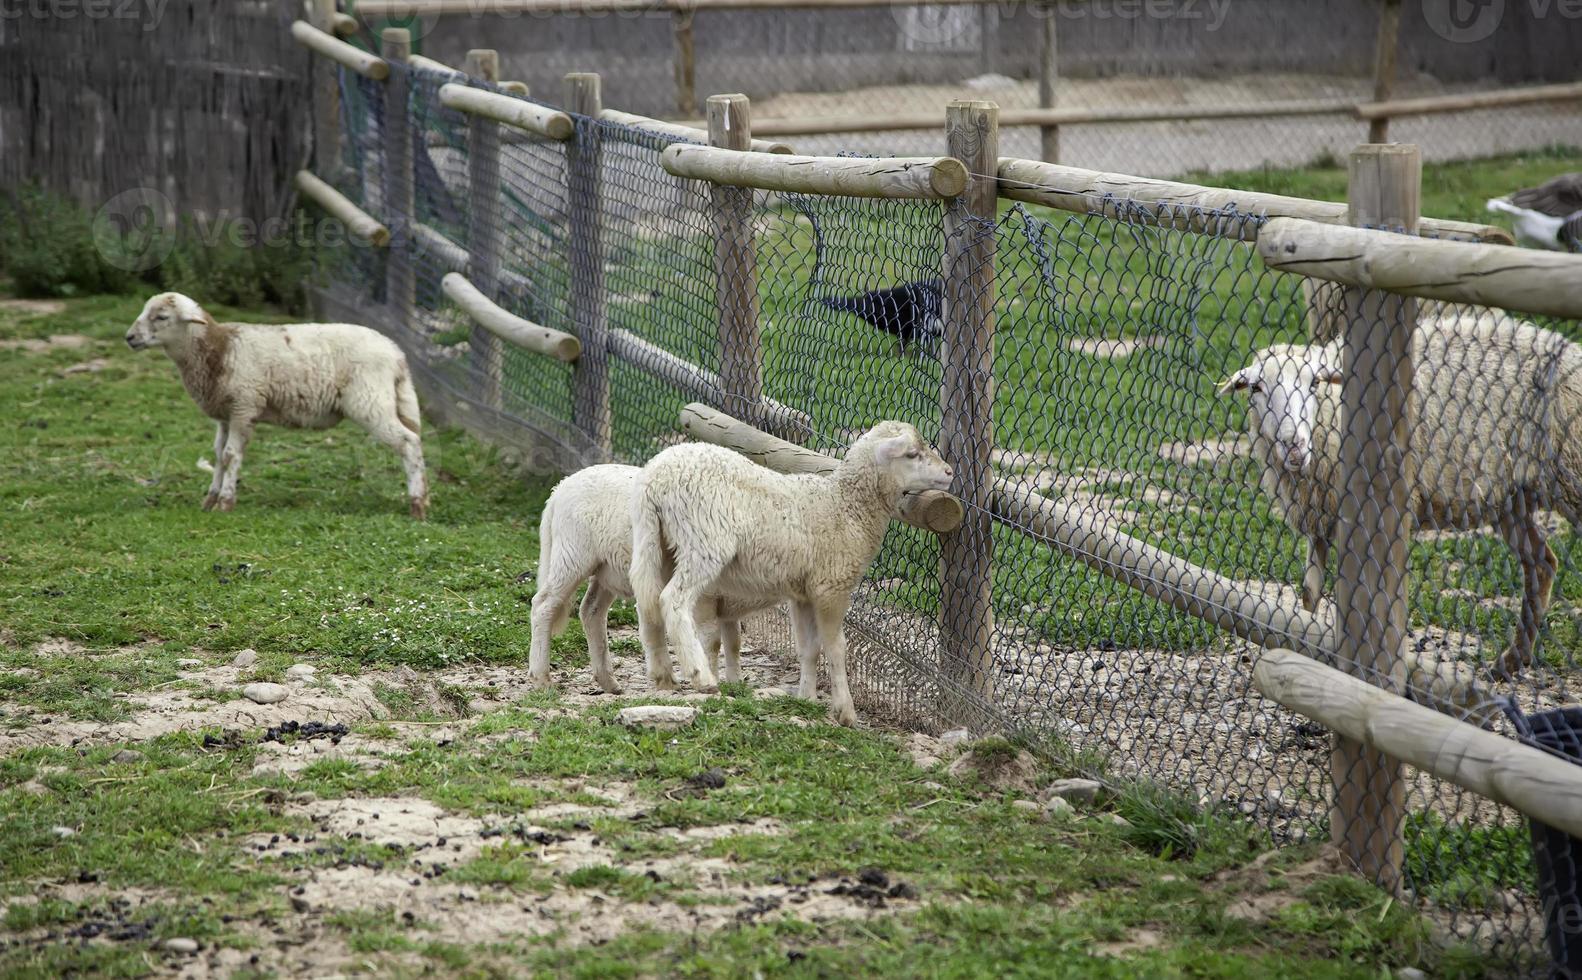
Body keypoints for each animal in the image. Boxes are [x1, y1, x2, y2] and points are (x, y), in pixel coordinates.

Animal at [127, 291, 430, 522]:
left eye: (161, 317)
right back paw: (423, 498)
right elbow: (218, 456)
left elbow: (231, 456)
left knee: (409, 442)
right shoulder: (225, 415)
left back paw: (417, 505)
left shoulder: (244, 406)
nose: (129, 338)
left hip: (370, 400)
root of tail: (397, 354)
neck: (219, 349)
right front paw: (210, 500)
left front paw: (225, 502)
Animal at [531, 465, 803, 690]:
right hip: (572, 554)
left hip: (607, 569)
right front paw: (710, 677)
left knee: (591, 611)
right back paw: (541, 678)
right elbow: (712, 642)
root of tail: (558, 490)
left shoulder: (727, 609)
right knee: (543, 605)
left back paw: (609, 682)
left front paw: (736, 684)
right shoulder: (706, 601)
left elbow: (734, 643)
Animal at [626, 417, 949, 725]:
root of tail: (655, 478)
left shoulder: (803, 593)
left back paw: (663, 674)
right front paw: (845, 711)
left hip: (656, 542)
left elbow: (808, 647)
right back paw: (700, 675)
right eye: (912, 453)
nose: (949, 472)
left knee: (648, 602)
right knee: (672, 600)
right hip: (703, 541)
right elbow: (836, 647)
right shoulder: (831, 587)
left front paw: (807, 698)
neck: (846, 507)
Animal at [1221, 310, 1582, 677]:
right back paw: (1512, 660)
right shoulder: (1319, 512)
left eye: (1314, 384)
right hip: (1513, 498)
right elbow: (1310, 594)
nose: (1295, 446)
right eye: (1256, 387)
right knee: (1541, 564)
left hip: (1571, 474)